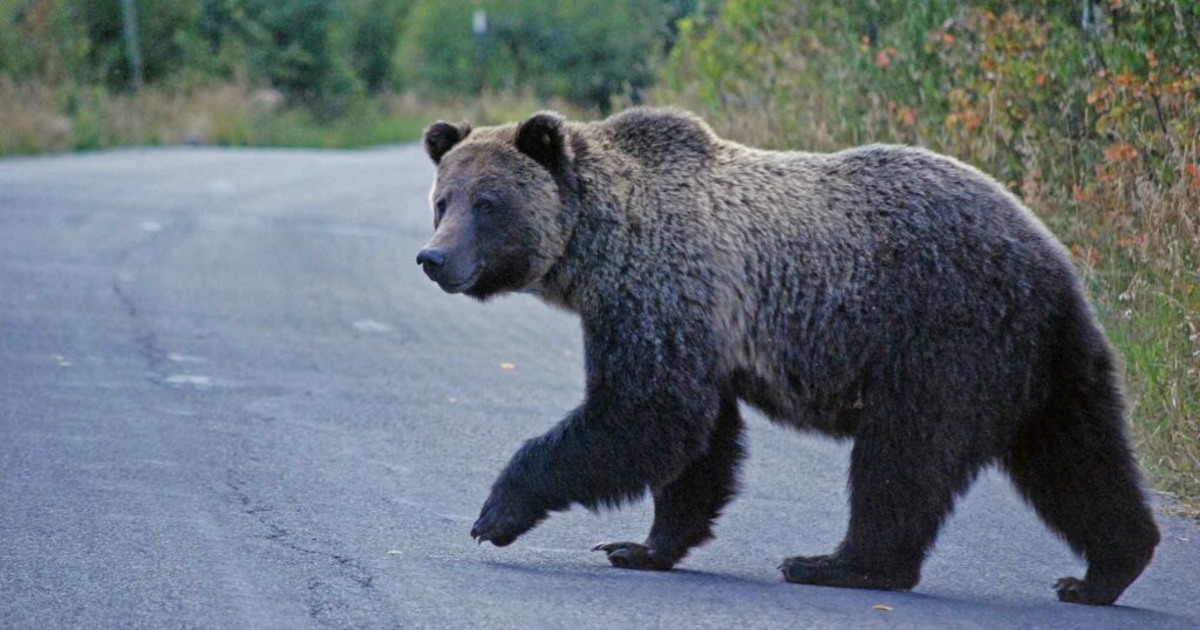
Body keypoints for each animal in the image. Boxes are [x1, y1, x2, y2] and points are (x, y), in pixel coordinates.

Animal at [415, 107, 1160, 605]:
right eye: (442, 200)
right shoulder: (702, 327)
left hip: (941, 335)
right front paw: (642, 546)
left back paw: (838, 563)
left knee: (904, 456)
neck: (597, 245)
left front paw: (497, 513)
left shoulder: (660, 288)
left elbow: (643, 412)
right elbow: (698, 443)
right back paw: (1103, 570)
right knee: (1076, 456)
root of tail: (1052, 257)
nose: (433, 258)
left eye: (488, 202)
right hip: (1044, 360)